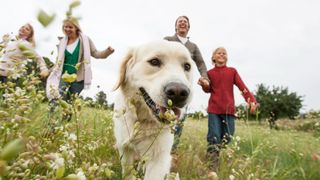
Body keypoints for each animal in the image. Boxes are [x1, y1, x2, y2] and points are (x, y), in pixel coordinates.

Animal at [114, 40, 194, 179]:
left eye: (187, 66)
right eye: (154, 62)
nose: (179, 92)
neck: (142, 121)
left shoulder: (158, 158)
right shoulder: (125, 149)